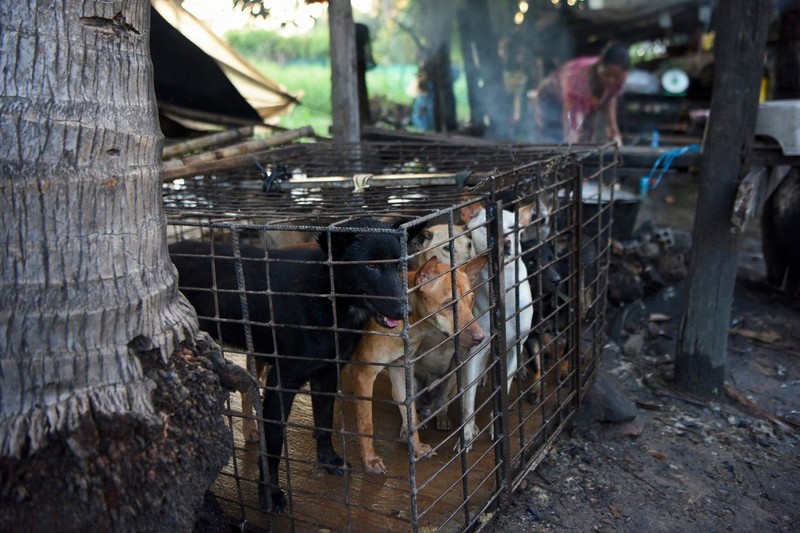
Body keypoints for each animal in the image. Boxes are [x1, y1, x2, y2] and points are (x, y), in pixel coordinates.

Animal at [168, 217, 418, 512]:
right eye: (371, 266)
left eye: (398, 266)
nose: (406, 312)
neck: (326, 296)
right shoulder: (281, 383)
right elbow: (274, 442)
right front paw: (270, 493)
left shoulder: (326, 376)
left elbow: (324, 424)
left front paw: (328, 460)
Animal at [350, 255, 488, 474]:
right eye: (449, 304)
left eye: (471, 300)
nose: (481, 338)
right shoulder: (364, 374)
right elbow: (366, 425)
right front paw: (369, 461)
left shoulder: (400, 371)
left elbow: (410, 416)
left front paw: (417, 448)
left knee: (437, 403)